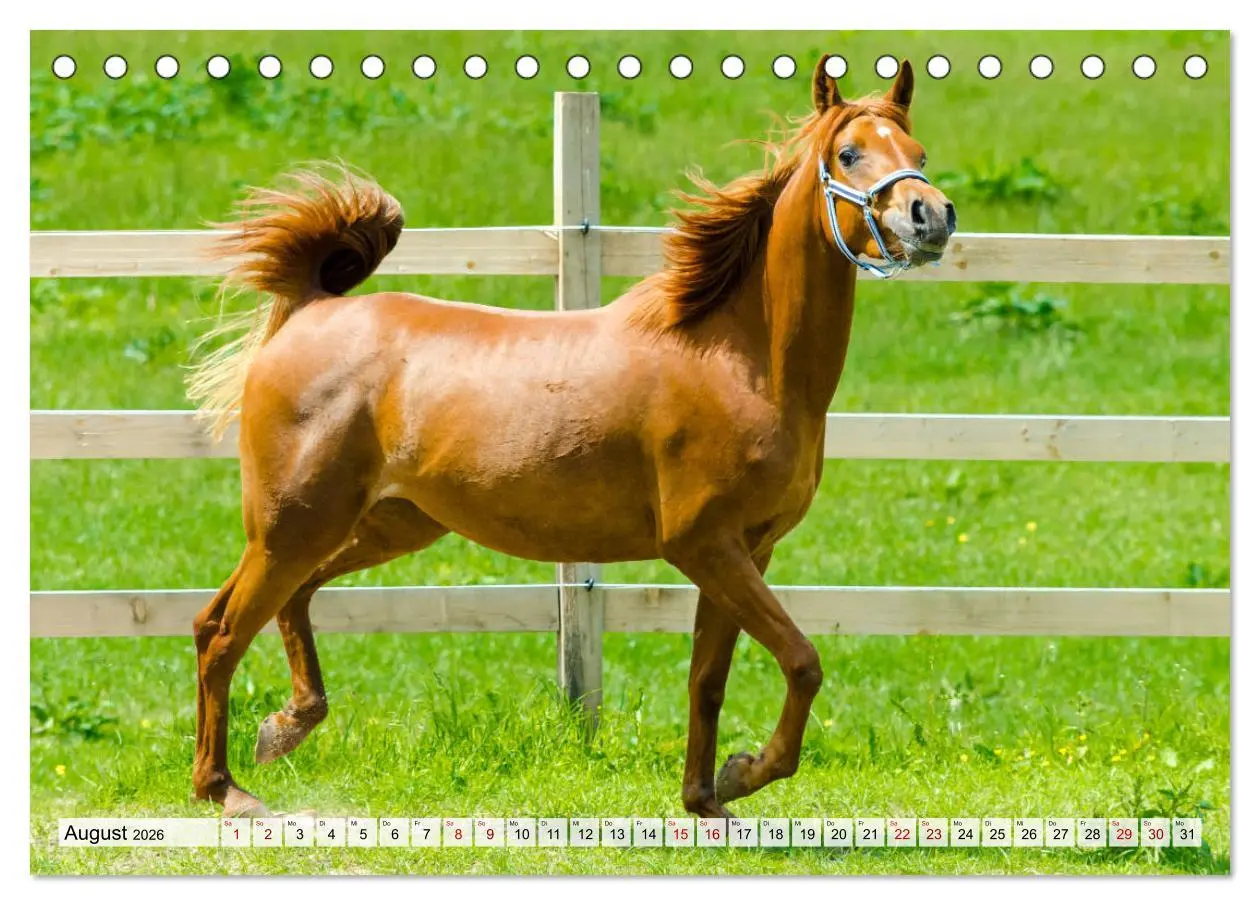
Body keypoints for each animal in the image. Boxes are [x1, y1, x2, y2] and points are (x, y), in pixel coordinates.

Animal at [186, 56, 956, 818]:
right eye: (849, 154)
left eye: (918, 153)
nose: (932, 217)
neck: (743, 358)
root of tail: (308, 311)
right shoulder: (705, 544)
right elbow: (802, 661)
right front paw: (743, 773)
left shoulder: (746, 551)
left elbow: (707, 680)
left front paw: (705, 800)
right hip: (294, 526)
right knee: (223, 632)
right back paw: (224, 787)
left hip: (382, 525)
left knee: (271, 605)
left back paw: (285, 727)